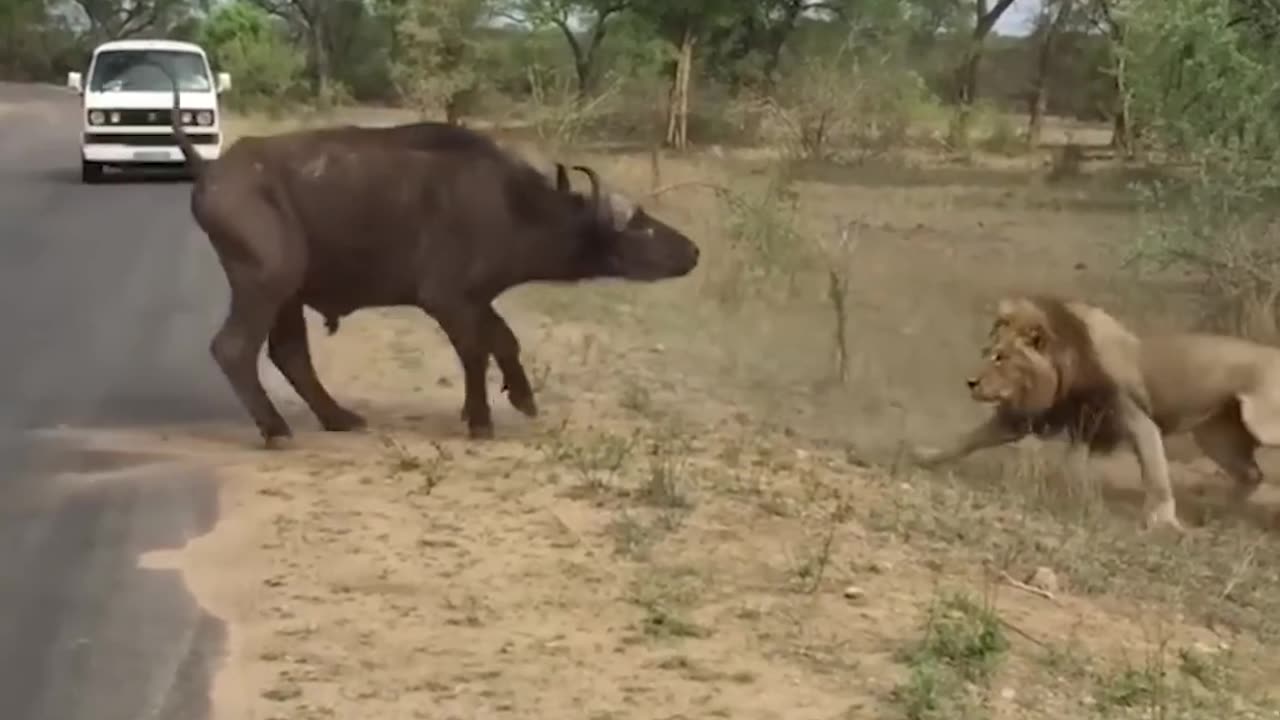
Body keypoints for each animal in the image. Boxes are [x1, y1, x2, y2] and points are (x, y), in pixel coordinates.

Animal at [167, 83, 701, 445]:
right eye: (640, 227)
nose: (693, 251)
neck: (511, 204)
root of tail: (212, 170)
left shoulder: (477, 297)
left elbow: (504, 339)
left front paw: (521, 397)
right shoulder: (446, 299)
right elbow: (475, 350)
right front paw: (481, 419)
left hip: (290, 293)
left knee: (289, 353)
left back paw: (338, 417)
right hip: (268, 280)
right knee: (234, 348)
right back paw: (276, 428)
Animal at [911, 293, 1280, 532]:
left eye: (1002, 358)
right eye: (988, 352)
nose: (970, 382)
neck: (1065, 368)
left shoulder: (1136, 419)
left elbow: (1155, 473)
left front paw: (1161, 520)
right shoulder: (1045, 417)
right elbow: (969, 439)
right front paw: (925, 456)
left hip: (1262, 423)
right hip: (1216, 436)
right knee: (1252, 475)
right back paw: (1223, 519)